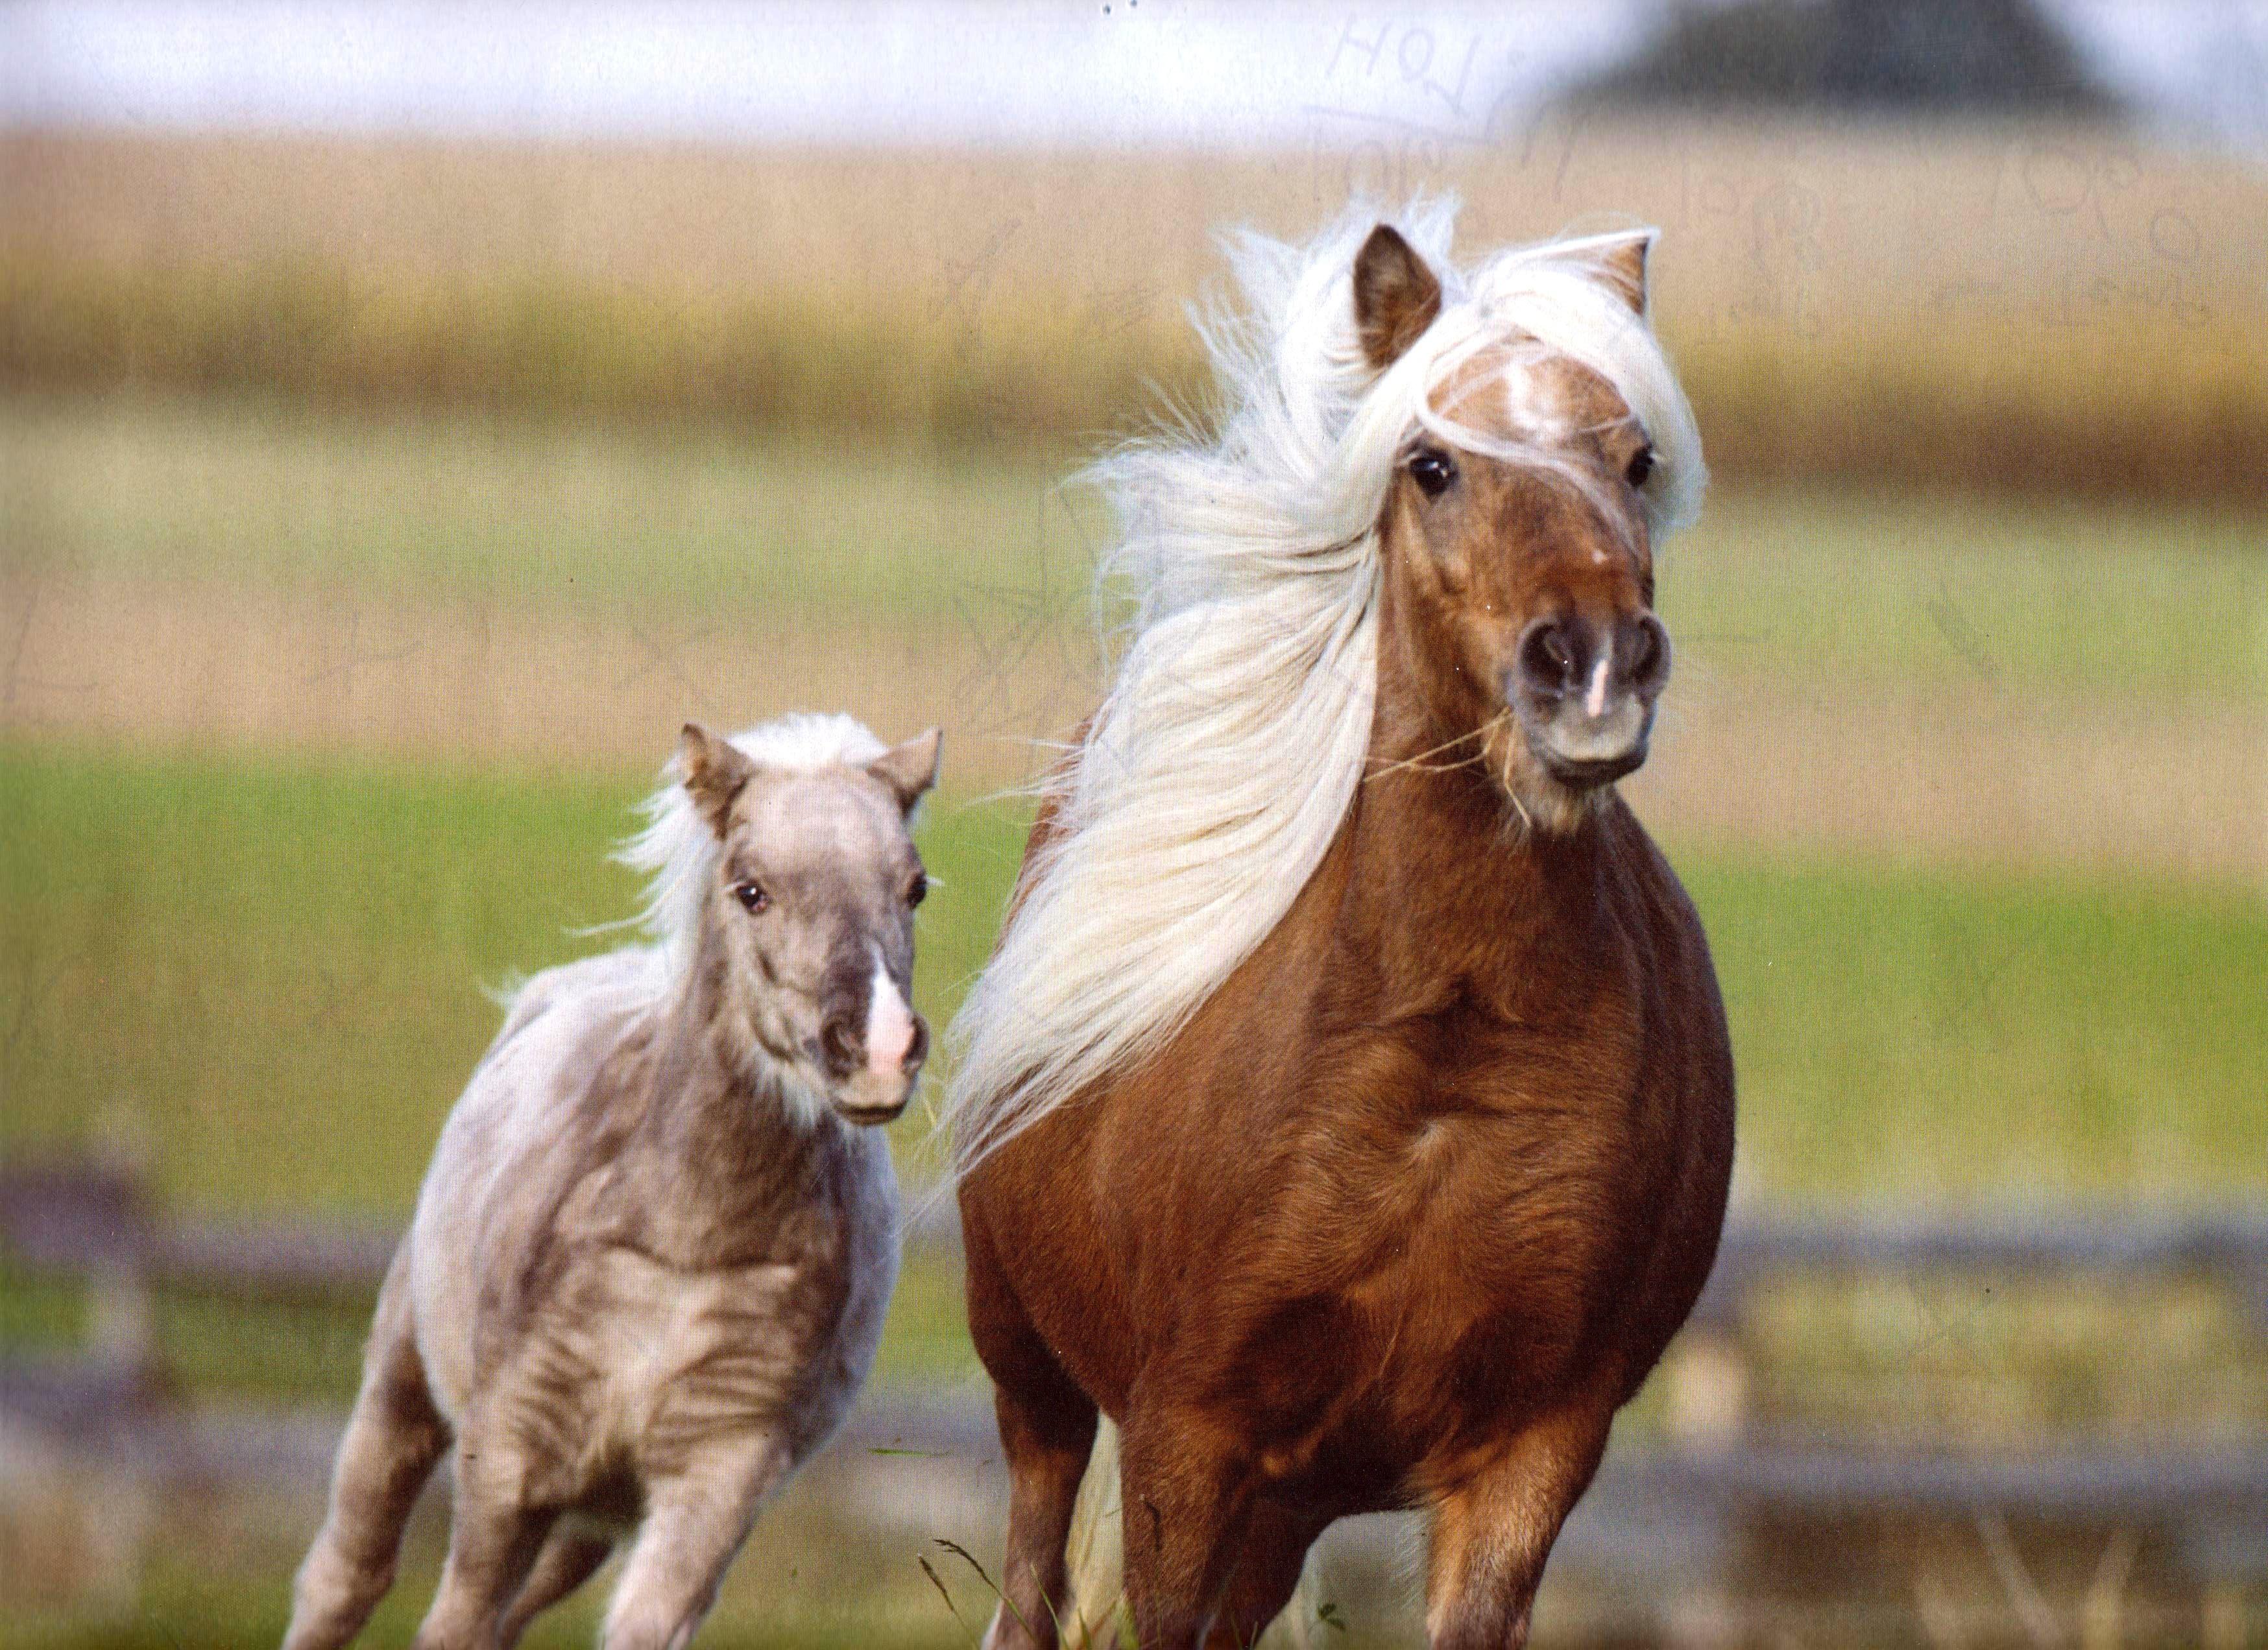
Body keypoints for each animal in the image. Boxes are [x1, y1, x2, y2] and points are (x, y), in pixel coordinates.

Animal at [283, 713, 941, 1650]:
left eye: (914, 888)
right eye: (751, 890)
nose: (880, 1051)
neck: (686, 1240)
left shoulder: (716, 1482)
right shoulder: (509, 1463)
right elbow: (451, 1623)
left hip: (590, 1523)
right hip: (403, 1387)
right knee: (345, 1579)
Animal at [945, 202, 1735, 1650]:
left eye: (1636, 458)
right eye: (1431, 466)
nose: (1594, 668)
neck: (1445, 1051)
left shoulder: (1532, 1448)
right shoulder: (1183, 1439)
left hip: (1288, 1502)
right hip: (1034, 1380)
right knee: (1028, 1578)